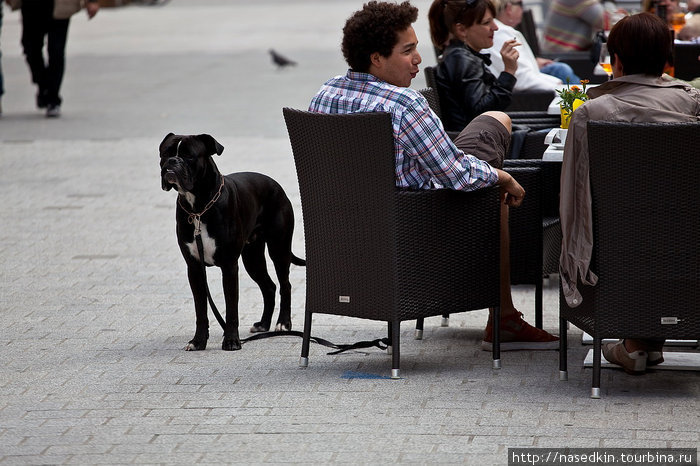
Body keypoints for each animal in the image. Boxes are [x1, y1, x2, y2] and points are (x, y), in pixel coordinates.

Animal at [160, 131, 304, 350]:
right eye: (164, 153)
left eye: (188, 156)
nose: (172, 161)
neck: (199, 208)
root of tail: (276, 185)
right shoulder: (194, 268)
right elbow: (201, 310)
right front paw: (198, 341)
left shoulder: (229, 266)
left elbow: (231, 308)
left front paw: (231, 341)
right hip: (252, 258)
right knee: (269, 286)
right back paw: (263, 324)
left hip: (278, 248)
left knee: (285, 284)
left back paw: (283, 323)